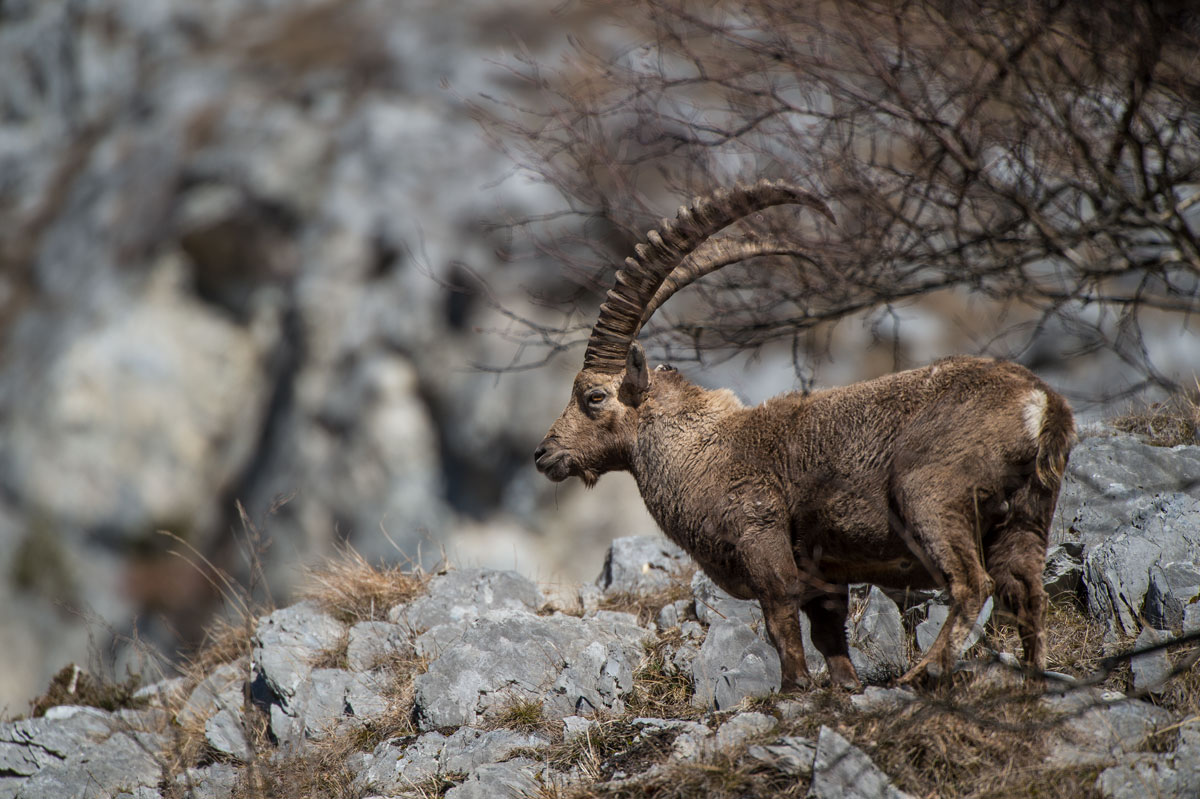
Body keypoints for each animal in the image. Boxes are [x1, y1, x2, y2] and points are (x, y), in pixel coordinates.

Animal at [534, 180, 1075, 689]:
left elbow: (779, 621)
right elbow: (828, 633)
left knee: (971, 584)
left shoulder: (762, 539)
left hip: (931, 496)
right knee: (1026, 591)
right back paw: (1031, 677)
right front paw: (844, 686)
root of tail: (1041, 404)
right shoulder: (824, 576)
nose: (544, 454)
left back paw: (923, 674)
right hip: (1027, 514)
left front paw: (792, 687)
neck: (699, 450)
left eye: (593, 396)